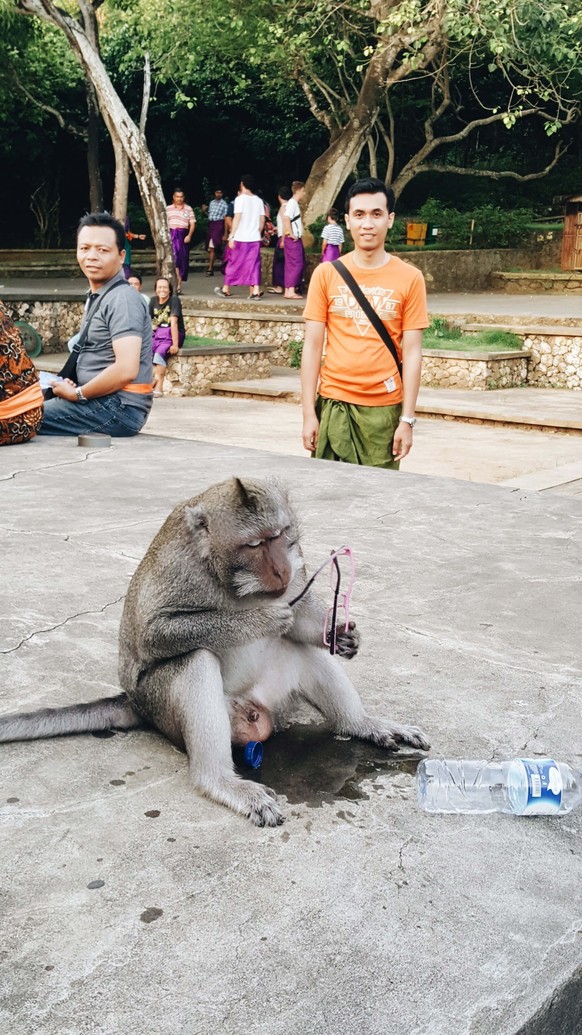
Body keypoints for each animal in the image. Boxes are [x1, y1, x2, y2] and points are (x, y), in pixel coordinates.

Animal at [0, 476, 426, 823]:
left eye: (278, 535)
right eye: (253, 544)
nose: (280, 570)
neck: (227, 575)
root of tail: (134, 702)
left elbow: (301, 612)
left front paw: (339, 634)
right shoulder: (178, 568)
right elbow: (153, 635)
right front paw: (260, 619)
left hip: (273, 696)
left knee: (297, 647)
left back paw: (361, 724)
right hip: (161, 706)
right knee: (195, 658)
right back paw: (219, 780)